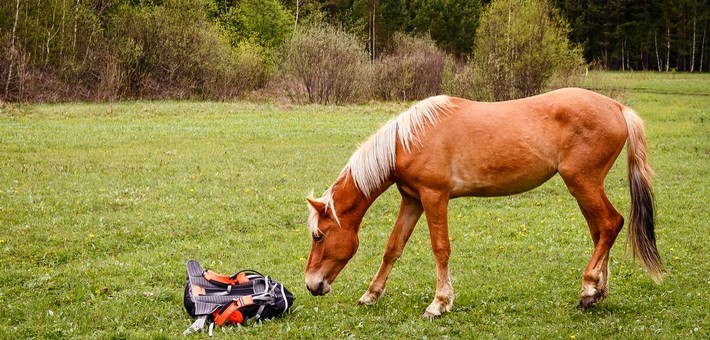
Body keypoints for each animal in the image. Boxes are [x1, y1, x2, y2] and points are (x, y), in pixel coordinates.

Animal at [304, 86, 664, 318]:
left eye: (318, 236)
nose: (311, 285)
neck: (409, 139)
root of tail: (618, 108)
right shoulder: (413, 200)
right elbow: (393, 247)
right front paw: (371, 295)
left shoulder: (435, 197)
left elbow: (441, 248)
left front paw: (439, 304)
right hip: (585, 188)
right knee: (601, 231)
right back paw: (598, 292)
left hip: (583, 183)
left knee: (610, 224)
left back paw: (589, 289)